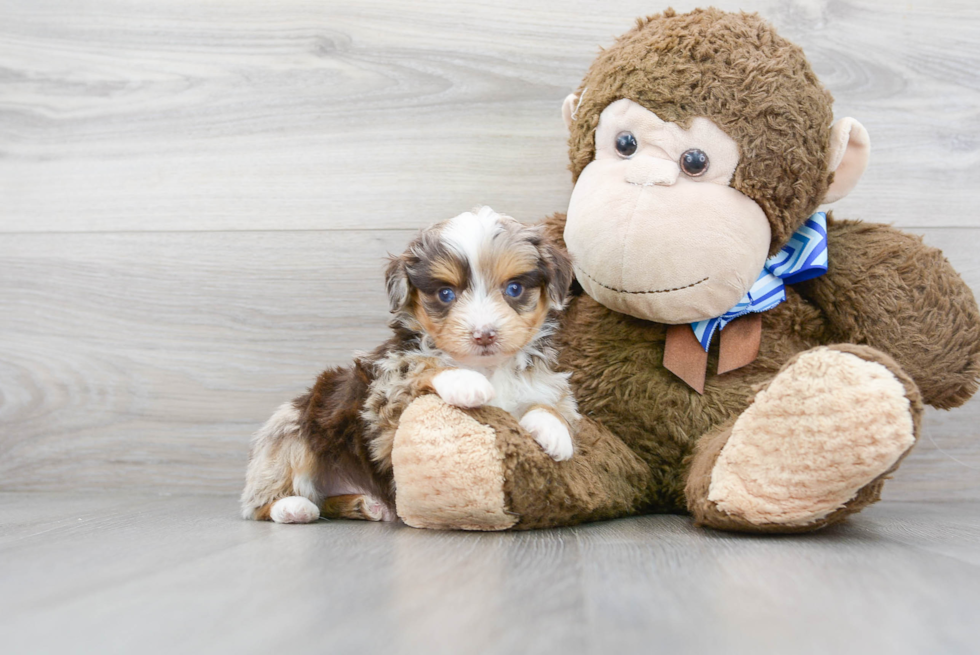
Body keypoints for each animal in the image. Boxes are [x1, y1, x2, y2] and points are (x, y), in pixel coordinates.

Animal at [240, 208, 580, 524]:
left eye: (514, 289)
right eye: (445, 294)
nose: (483, 334)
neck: (488, 367)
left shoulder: (543, 382)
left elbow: (552, 402)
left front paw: (553, 429)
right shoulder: (384, 391)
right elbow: (420, 364)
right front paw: (465, 382)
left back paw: (363, 504)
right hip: (289, 433)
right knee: (265, 499)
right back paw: (291, 507)